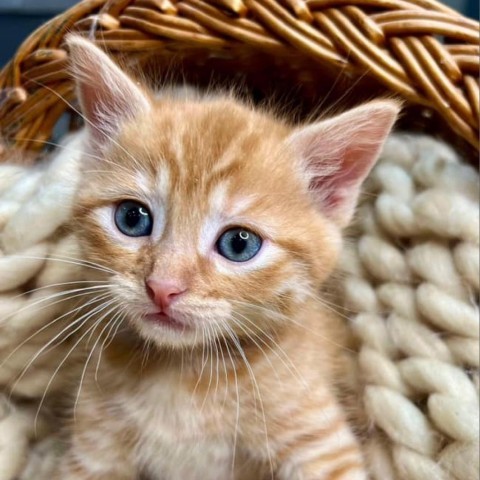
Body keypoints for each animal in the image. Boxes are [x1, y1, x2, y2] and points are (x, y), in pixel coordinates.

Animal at [52, 34, 400, 480]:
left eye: (239, 244)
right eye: (132, 218)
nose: (162, 287)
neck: (183, 374)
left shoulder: (319, 442)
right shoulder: (94, 443)